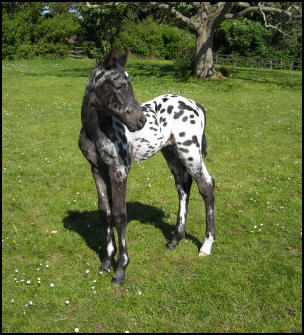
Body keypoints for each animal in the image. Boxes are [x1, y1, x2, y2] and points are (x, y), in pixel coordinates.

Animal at [78, 49, 216, 286]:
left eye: (130, 84)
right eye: (118, 86)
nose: (139, 121)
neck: (96, 131)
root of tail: (196, 105)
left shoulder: (120, 170)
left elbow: (119, 215)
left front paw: (120, 269)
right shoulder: (96, 169)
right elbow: (105, 212)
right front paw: (106, 262)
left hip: (190, 152)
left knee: (206, 186)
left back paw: (206, 245)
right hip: (172, 153)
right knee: (183, 187)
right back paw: (175, 240)